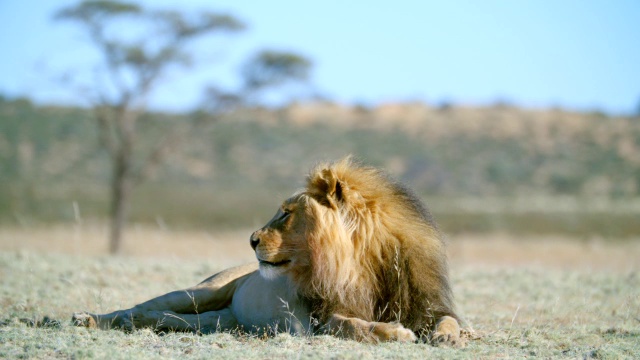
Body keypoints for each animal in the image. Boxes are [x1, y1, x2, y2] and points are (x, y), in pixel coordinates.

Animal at [72, 159, 462, 344]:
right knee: (138, 306)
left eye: (286, 213)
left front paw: (447, 337)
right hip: (201, 291)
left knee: (171, 319)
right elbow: (352, 325)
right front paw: (395, 333)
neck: (367, 264)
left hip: (221, 319)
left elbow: (449, 320)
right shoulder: (318, 320)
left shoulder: (429, 304)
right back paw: (91, 319)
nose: (251, 239)